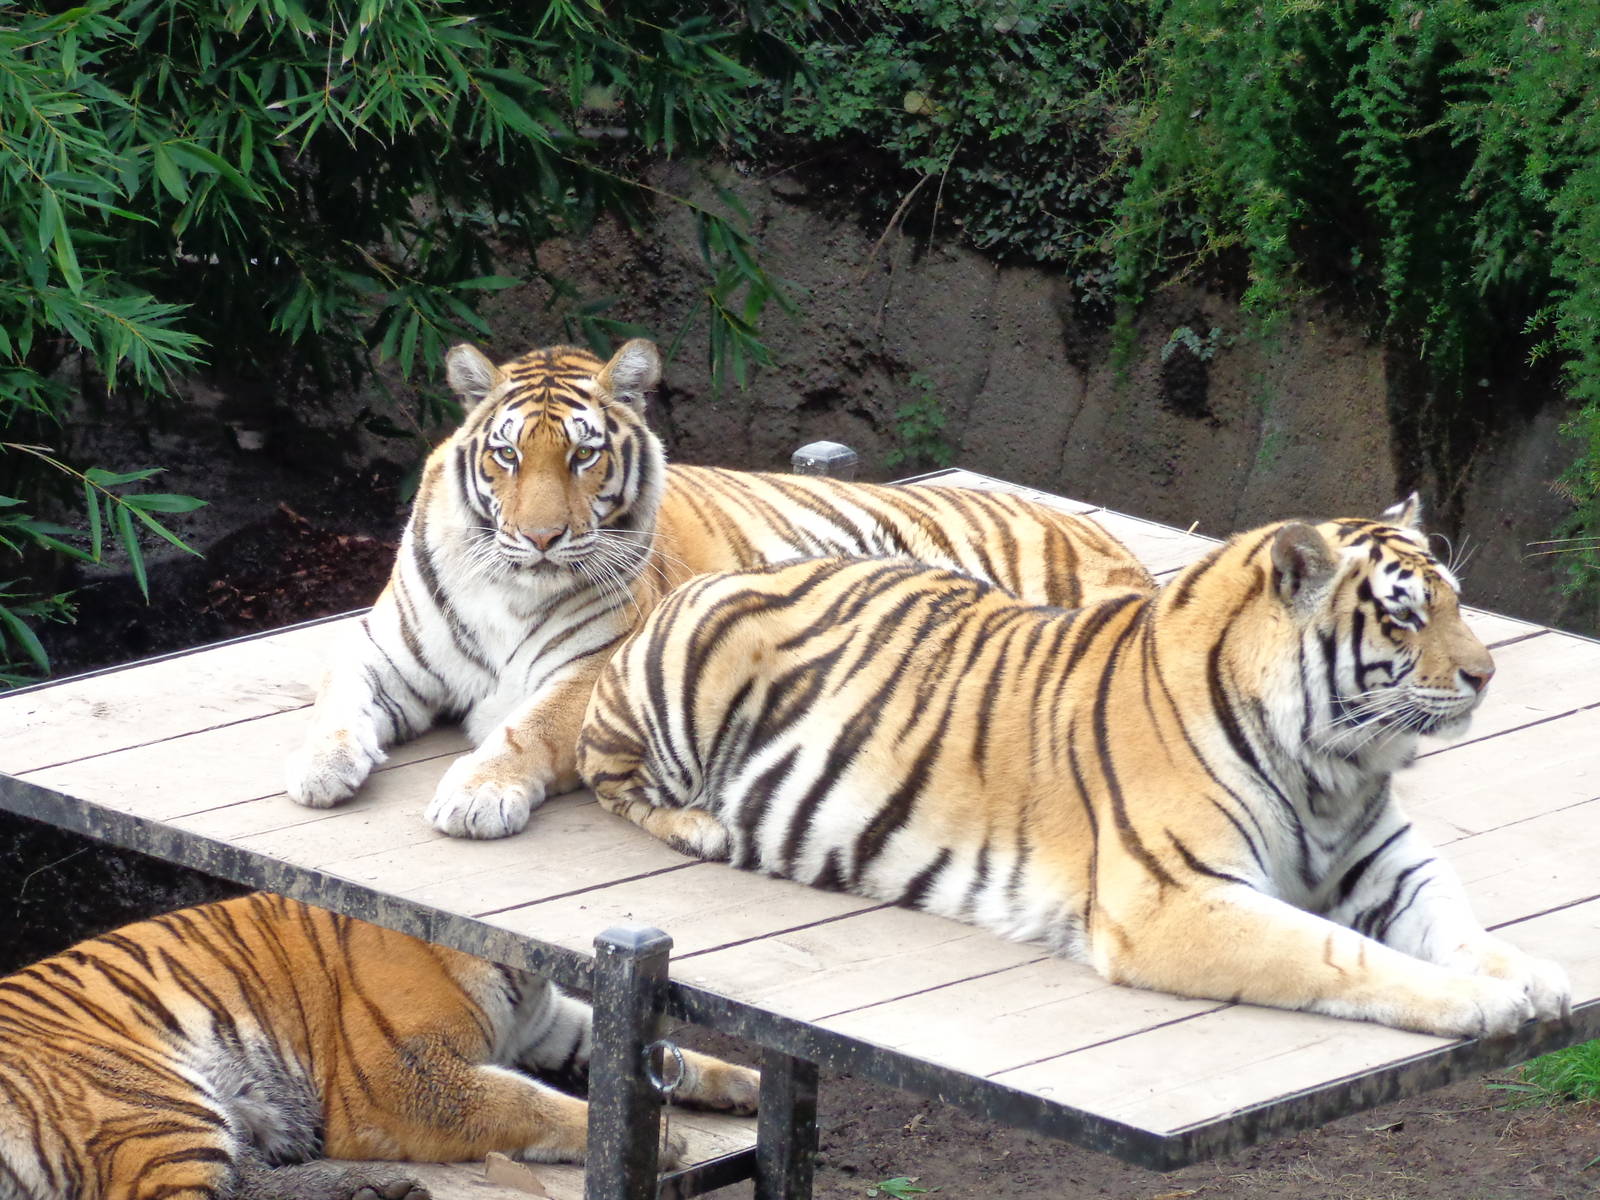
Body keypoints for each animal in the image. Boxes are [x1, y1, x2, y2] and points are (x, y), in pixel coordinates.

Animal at [0, 892, 757, 1200]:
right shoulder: (399, 1080)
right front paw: (664, 1142)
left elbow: (666, 1056)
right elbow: (525, 1100)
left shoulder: (548, 1024)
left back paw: (371, 1192)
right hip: (160, 1103)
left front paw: (745, 1084)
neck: (522, 975)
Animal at [284, 338, 1153, 840]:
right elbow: (334, 695)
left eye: (582, 457)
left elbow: (527, 728)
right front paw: (321, 767)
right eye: (507, 456)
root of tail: (1111, 542)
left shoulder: (596, 669)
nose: (540, 537)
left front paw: (477, 793)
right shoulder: (383, 652)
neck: (509, 583)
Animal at [577, 499, 1573, 1038]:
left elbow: (1461, 927)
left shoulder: (1390, 862)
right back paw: (705, 826)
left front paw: (1534, 978)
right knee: (609, 775)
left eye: (1456, 601)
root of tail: (696, 582)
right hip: (674, 696)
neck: (1331, 768)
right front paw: (1481, 1004)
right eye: (1405, 617)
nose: (1486, 675)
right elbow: (1340, 954)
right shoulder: (1174, 899)